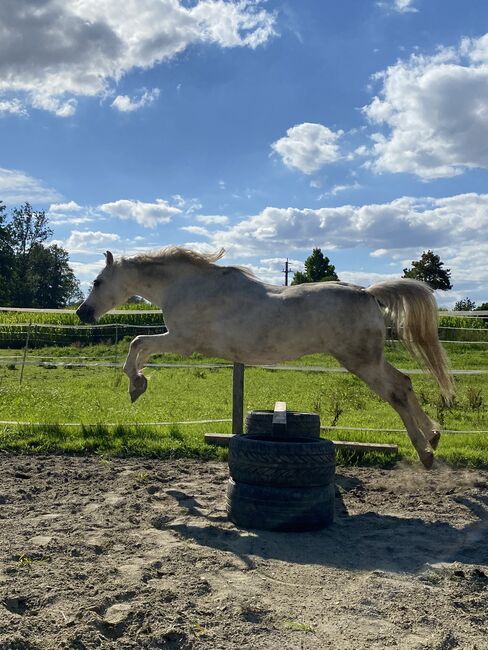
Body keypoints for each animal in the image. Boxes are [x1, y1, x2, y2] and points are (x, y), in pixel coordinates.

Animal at [76, 244, 454, 466]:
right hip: (369, 360)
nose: (82, 313)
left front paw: (136, 385)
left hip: (361, 362)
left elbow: (137, 343)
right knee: (405, 383)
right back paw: (434, 437)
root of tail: (369, 293)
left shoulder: (182, 341)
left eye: (97, 282)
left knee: (396, 391)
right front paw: (138, 385)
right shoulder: (179, 342)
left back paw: (425, 452)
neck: (187, 286)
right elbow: (139, 346)